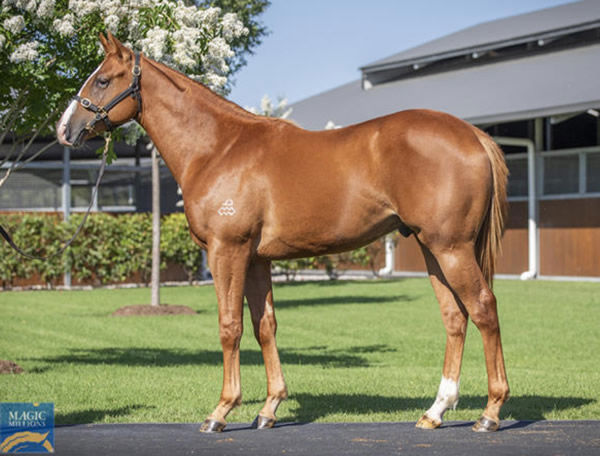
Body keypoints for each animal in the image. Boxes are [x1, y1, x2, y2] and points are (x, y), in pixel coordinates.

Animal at [56, 33, 508, 432]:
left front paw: (221, 411)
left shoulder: (227, 251)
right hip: (434, 250)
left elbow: (230, 326)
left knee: (484, 308)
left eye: (102, 79)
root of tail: (473, 135)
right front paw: (268, 410)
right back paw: (435, 411)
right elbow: (265, 326)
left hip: (452, 248)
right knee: (455, 317)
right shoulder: (257, 259)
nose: (64, 129)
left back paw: (490, 412)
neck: (218, 148)